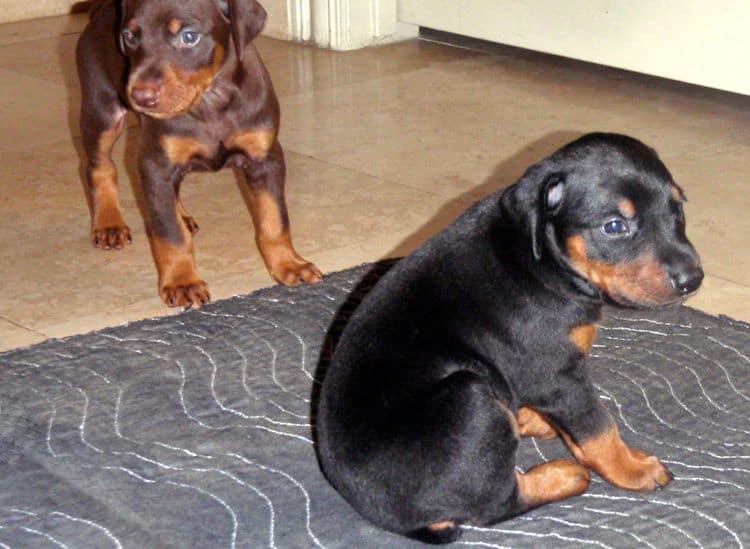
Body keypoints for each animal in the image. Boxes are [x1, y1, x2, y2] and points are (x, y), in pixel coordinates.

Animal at [76, 0, 324, 306]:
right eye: (130, 37)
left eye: (189, 36)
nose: (141, 96)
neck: (210, 99)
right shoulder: (156, 163)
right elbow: (171, 234)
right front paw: (182, 282)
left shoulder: (265, 158)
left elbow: (275, 220)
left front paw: (289, 264)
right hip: (102, 111)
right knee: (100, 167)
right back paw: (109, 223)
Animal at [316, 134, 704, 544]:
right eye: (614, 226)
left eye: (678, 208)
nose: (692, 279)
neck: (542, 260)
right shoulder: (556, 375)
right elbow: (597, 427)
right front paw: (633, 469)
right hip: (472, 399)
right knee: (495, 503)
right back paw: (561, 475)